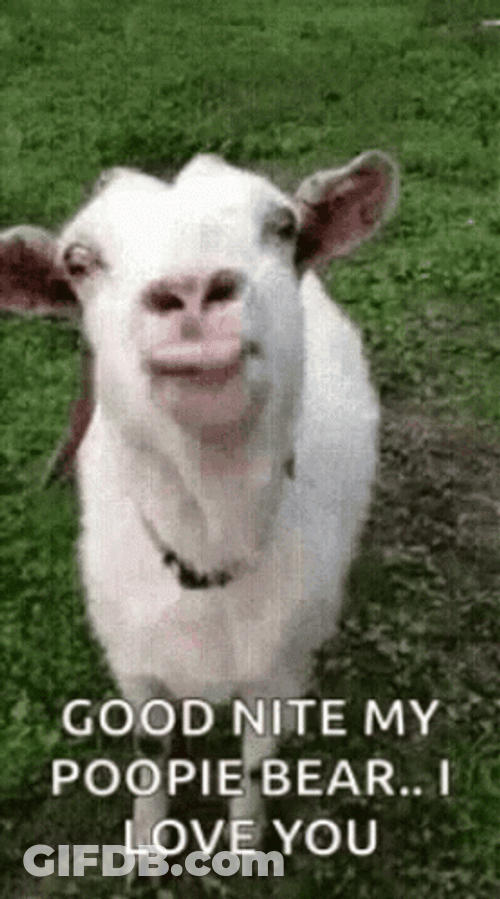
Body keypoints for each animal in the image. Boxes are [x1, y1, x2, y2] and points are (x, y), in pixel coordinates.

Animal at [1, 151, 398, 851]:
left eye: (283, 225)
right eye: (78, 260)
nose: (190, 292)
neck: (211, 544)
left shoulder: (278, 674)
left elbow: (257, 764)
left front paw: (243, 844)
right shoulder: (134, 664)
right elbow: (149, 751)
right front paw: (146, 843)